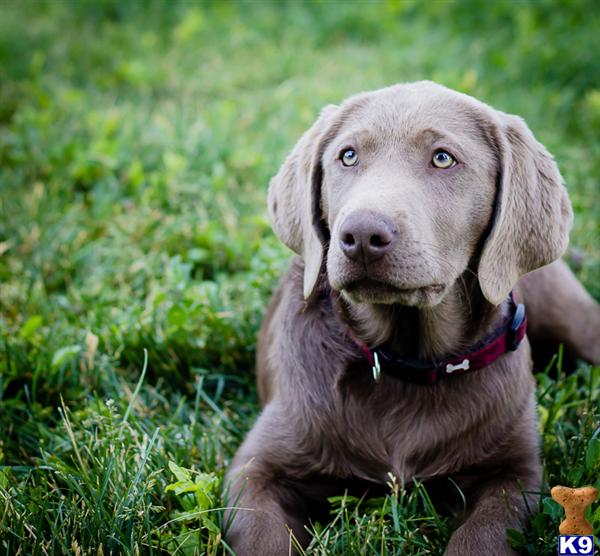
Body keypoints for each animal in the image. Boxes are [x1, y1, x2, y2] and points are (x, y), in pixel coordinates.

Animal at [225, 80, 600, 552]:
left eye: (443, 158)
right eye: (348, 155)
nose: (361, 234)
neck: (405, 361)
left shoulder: (514, 474)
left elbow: (481, 536)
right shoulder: (256, 468)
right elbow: (264, 537)